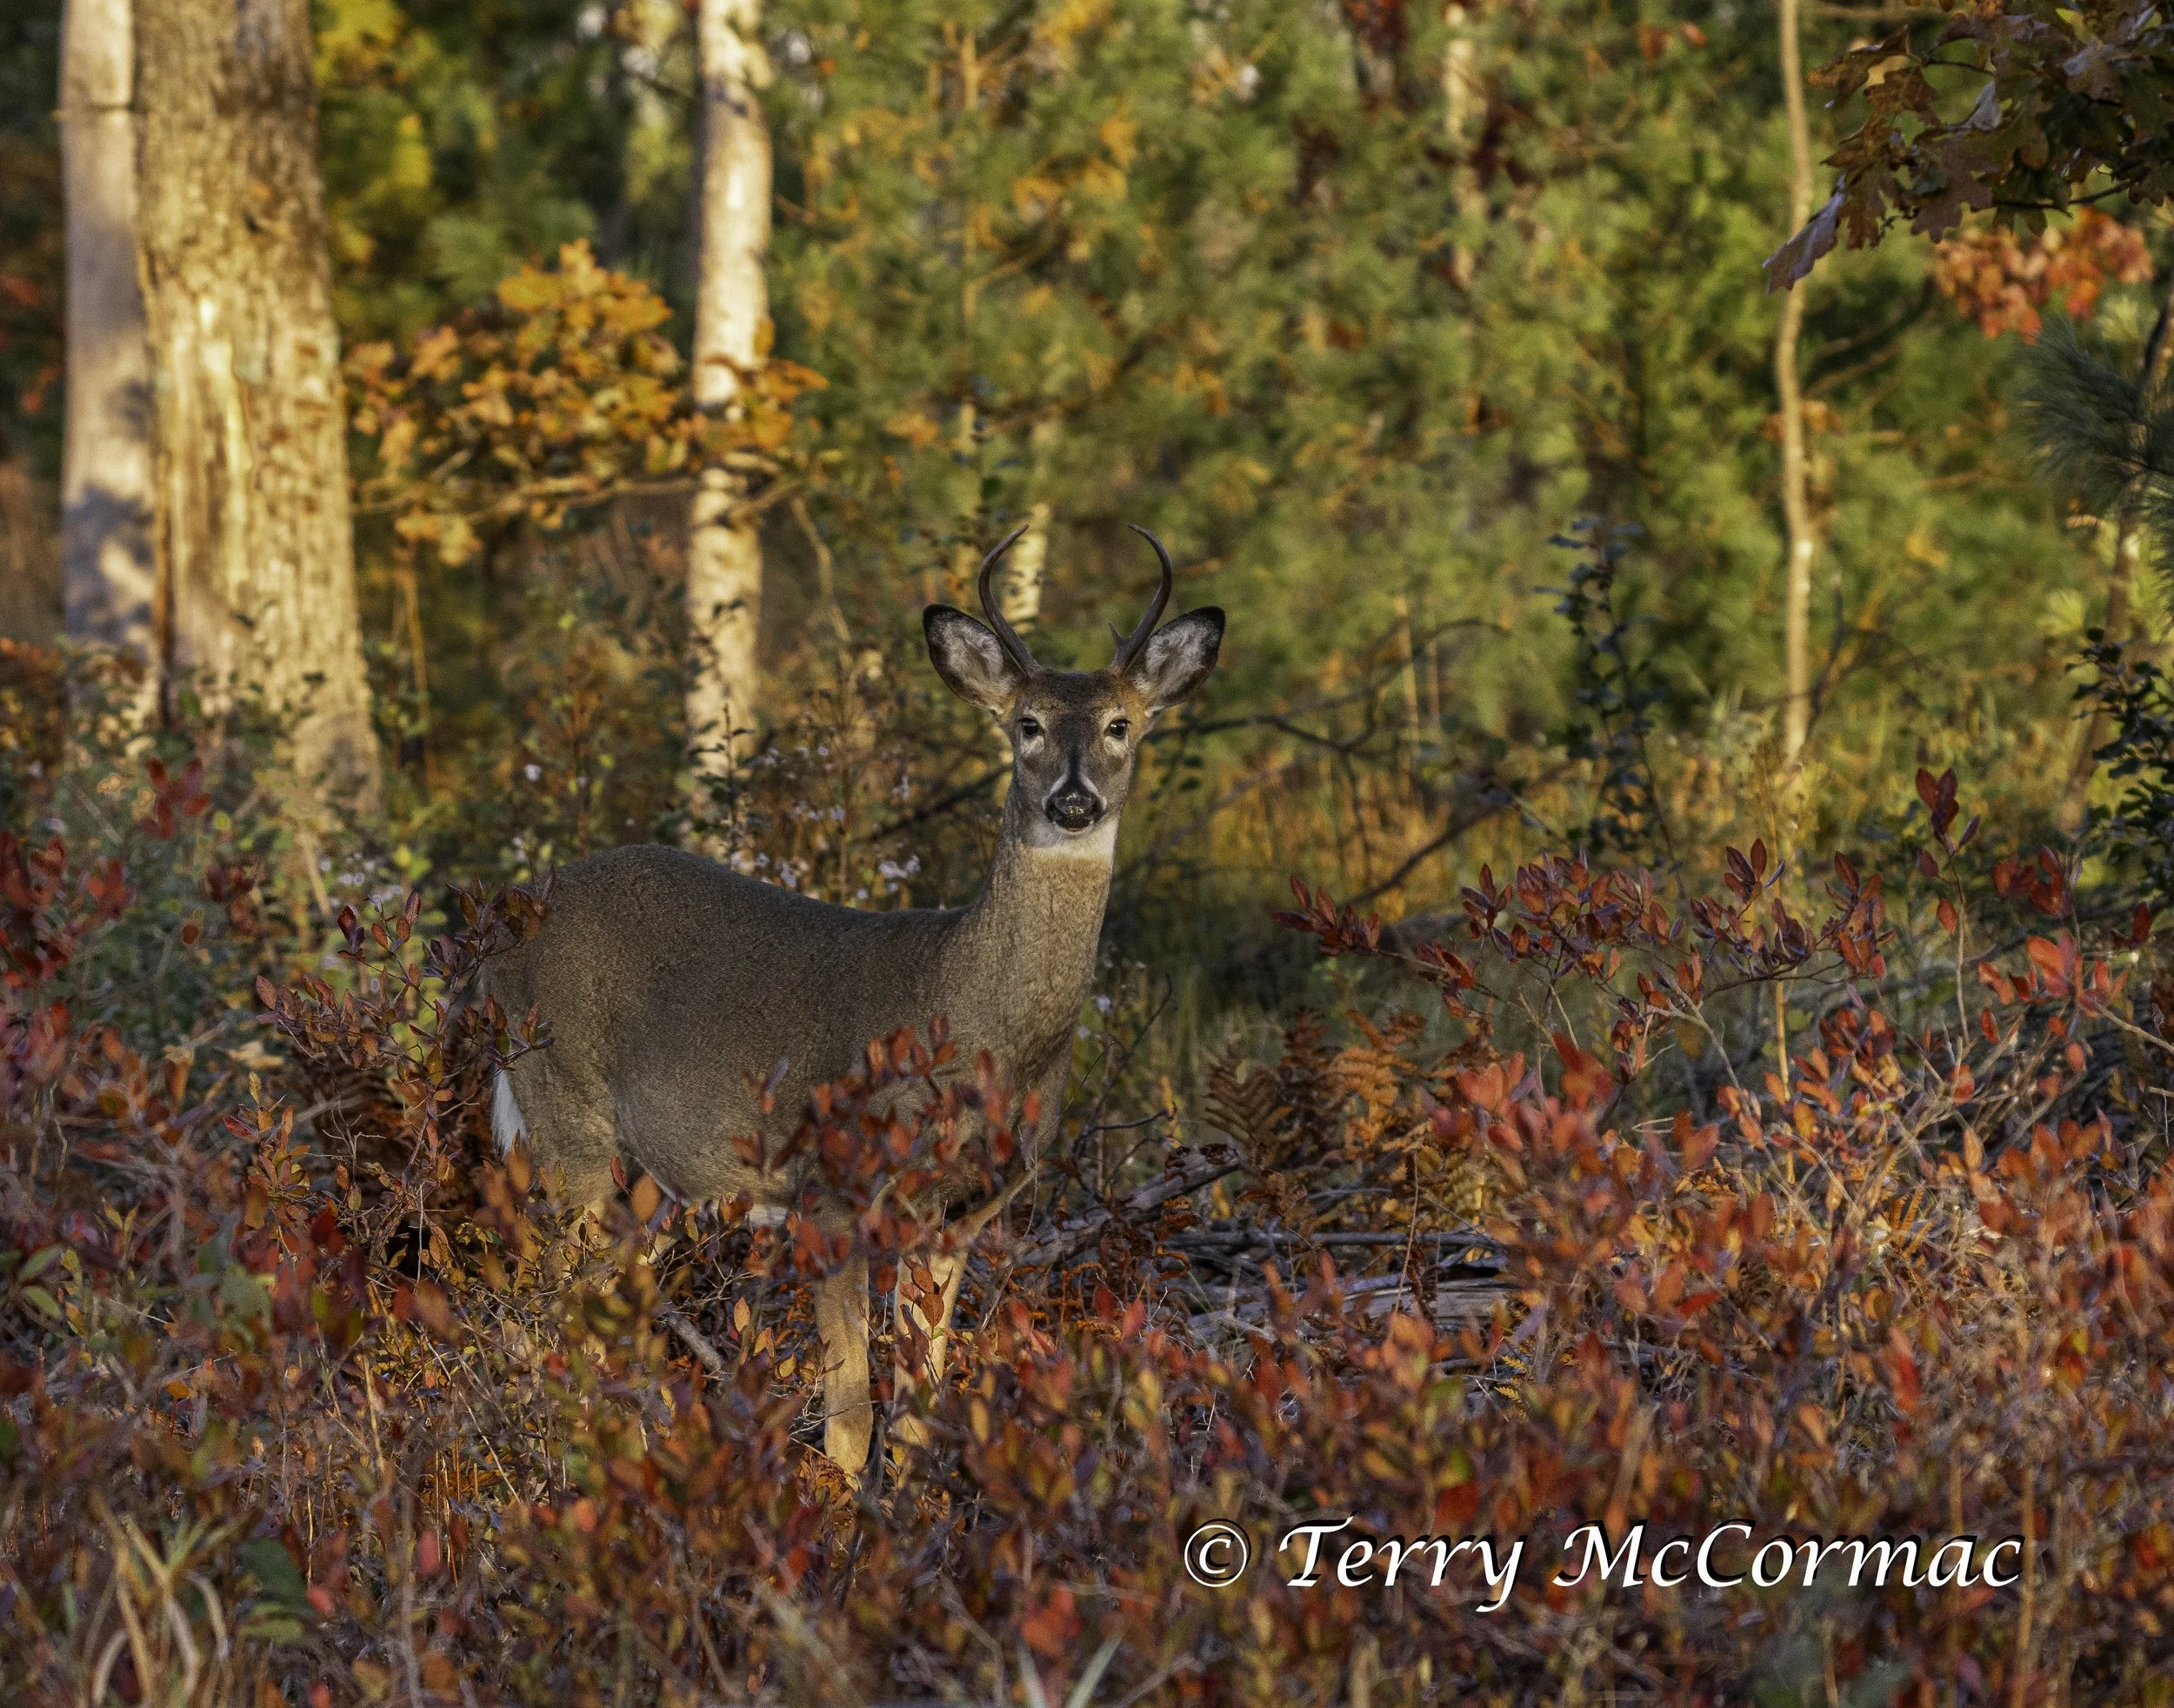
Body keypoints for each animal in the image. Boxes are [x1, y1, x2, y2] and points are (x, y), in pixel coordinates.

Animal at [481, 525, 1224, 1481]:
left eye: (1119, 725)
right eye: (1025, 724)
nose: (1072, 800)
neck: (974, 1024)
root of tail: (506, 924)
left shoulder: (961, 1214)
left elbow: (921, 1406)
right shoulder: (831, 1190)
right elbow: (849, 1416)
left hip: (647, 1183)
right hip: (565, 1115)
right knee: (543, 1314)